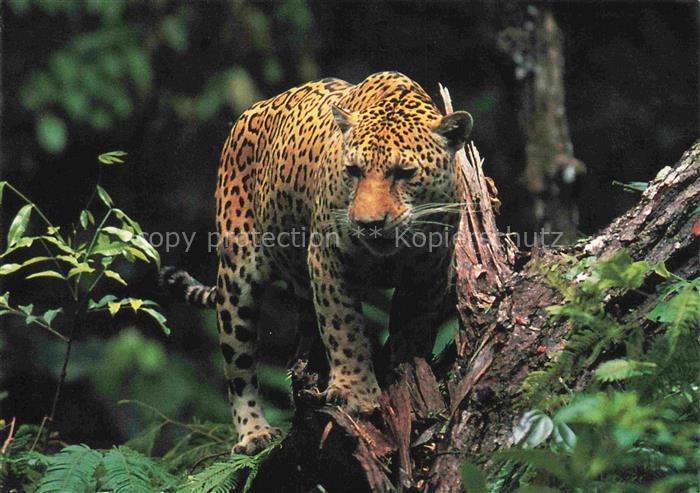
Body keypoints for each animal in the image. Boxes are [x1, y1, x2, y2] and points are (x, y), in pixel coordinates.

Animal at [161, 71, 473, 455]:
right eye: (353, 171)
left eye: (403, 173)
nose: (368, 223)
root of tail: (250, 111)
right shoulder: (327, 258)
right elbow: (344, 328)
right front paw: (356, 394)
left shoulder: (430, 270)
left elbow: (412, 330)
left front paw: (407, 380)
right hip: (236, 275)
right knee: (239, 367)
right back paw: (255, 432)